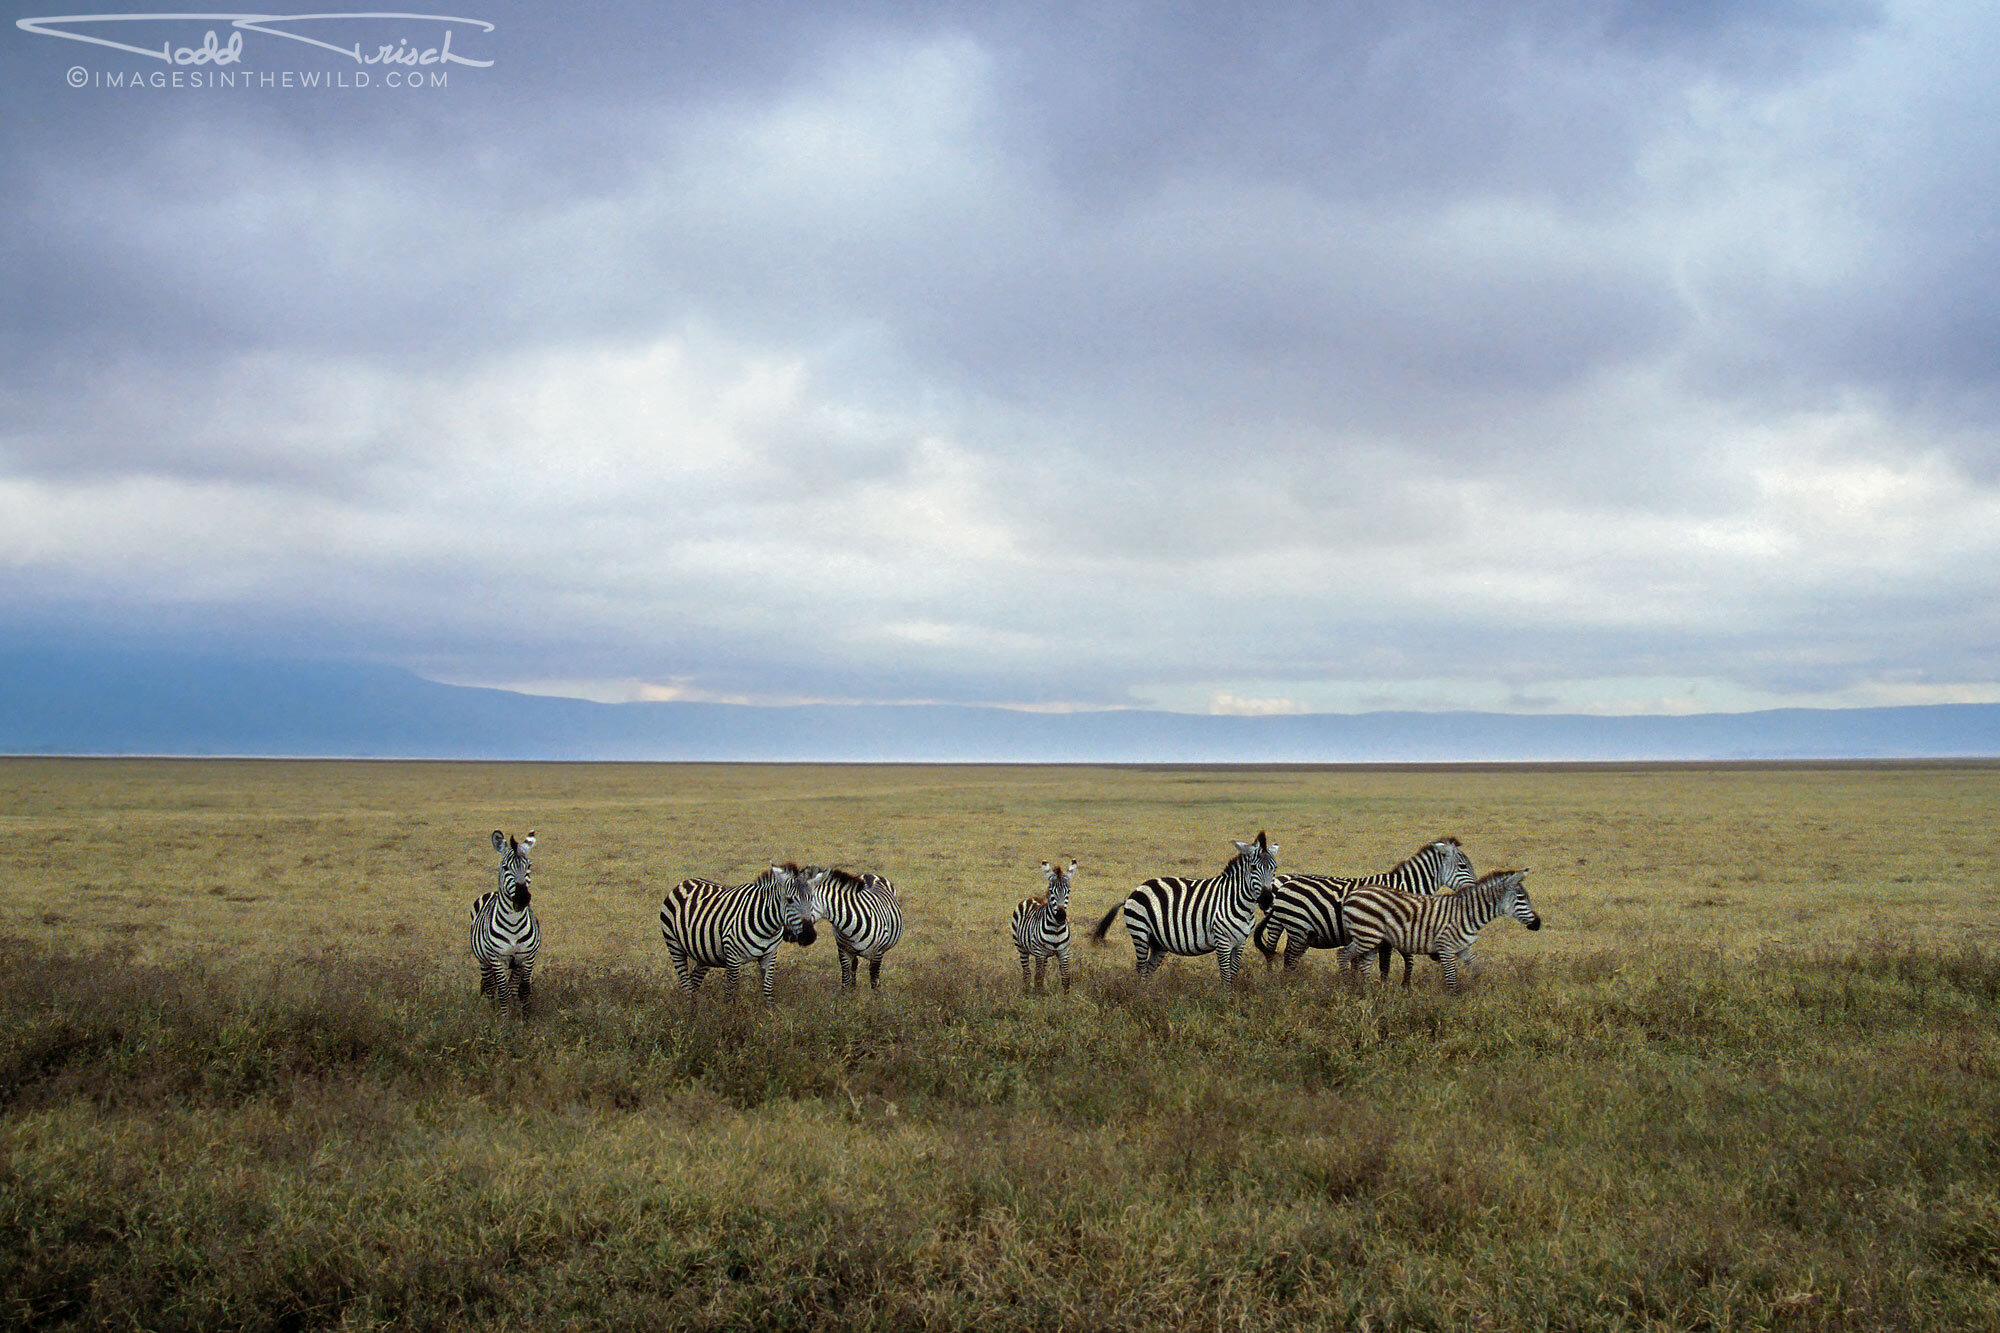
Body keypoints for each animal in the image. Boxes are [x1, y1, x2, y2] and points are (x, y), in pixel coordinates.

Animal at [466, 824, 536, 1012]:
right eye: (505, 867)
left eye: (529, 866)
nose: (522, 898)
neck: (514, 923)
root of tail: (492, 892)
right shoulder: (497, 959)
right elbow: (503, 992)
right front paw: (504, 1018)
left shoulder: (526, 958)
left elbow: (523, 990)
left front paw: (525, 1017)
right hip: (483, 961)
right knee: (491, 987)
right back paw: (493, 1012)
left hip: (515, 964)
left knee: (511, 986)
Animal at [1016, 856, 1080, 992]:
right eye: (1051, 890)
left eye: (1069, 890)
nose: (1061, 916)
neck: (1056, 928)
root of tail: (1032, 897)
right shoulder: (1039, 952)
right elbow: (1039, 977)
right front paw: (1038, 996)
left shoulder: (1064, 952)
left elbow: (1065, 977)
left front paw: (1065, 997)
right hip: (1021, 948)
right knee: (1027, 972)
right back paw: (1027, 991)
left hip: (1044, 954)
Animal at [1096, 836, 1280, 980]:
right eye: (1253, 867)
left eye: (1275, 868)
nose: (1266, 900)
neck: (1237, 901)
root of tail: (1135, 891)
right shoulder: (1222, 941)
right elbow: (1226, 976)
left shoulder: (1240, 943)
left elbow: (1233, 974)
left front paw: (1232, 998)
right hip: (1140, 932)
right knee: (1141, 968)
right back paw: (1141, 997)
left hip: (1158, 942)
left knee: (1148, 969)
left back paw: (1148, 995)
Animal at [1256, 836, 1480, 972]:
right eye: (1463, 866)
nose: (1476, 889)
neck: (1404, 886)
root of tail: (1280, 879)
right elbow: (1385, 964)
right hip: (1279, 923)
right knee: (1271, 949)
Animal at [1344, 868, 1544, 992]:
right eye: (1521, 898)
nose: (1538, 924)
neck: (1467, 913)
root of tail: (1352, 894)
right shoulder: (1445, 947)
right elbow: (1451, 978)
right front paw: (1453, 1002)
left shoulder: (1463, 948)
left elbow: (1477, 968)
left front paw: (1478, 987)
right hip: (1366, 936)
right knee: (1344, 954)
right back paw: (1347, 984)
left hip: (1373, 940)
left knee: (1363, 964)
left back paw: (1370, 991)